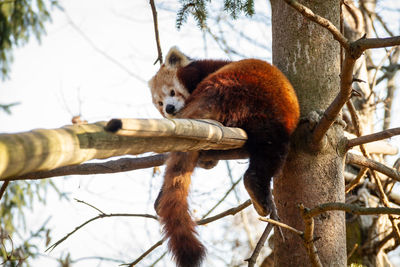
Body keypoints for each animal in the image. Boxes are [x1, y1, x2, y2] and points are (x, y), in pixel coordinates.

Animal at [148, 47, 298, 267]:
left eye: (172, 92)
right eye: (160, 103)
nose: (169, 108)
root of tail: (220, 89)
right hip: (264, 109)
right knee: (271, 150)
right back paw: (257, 189)